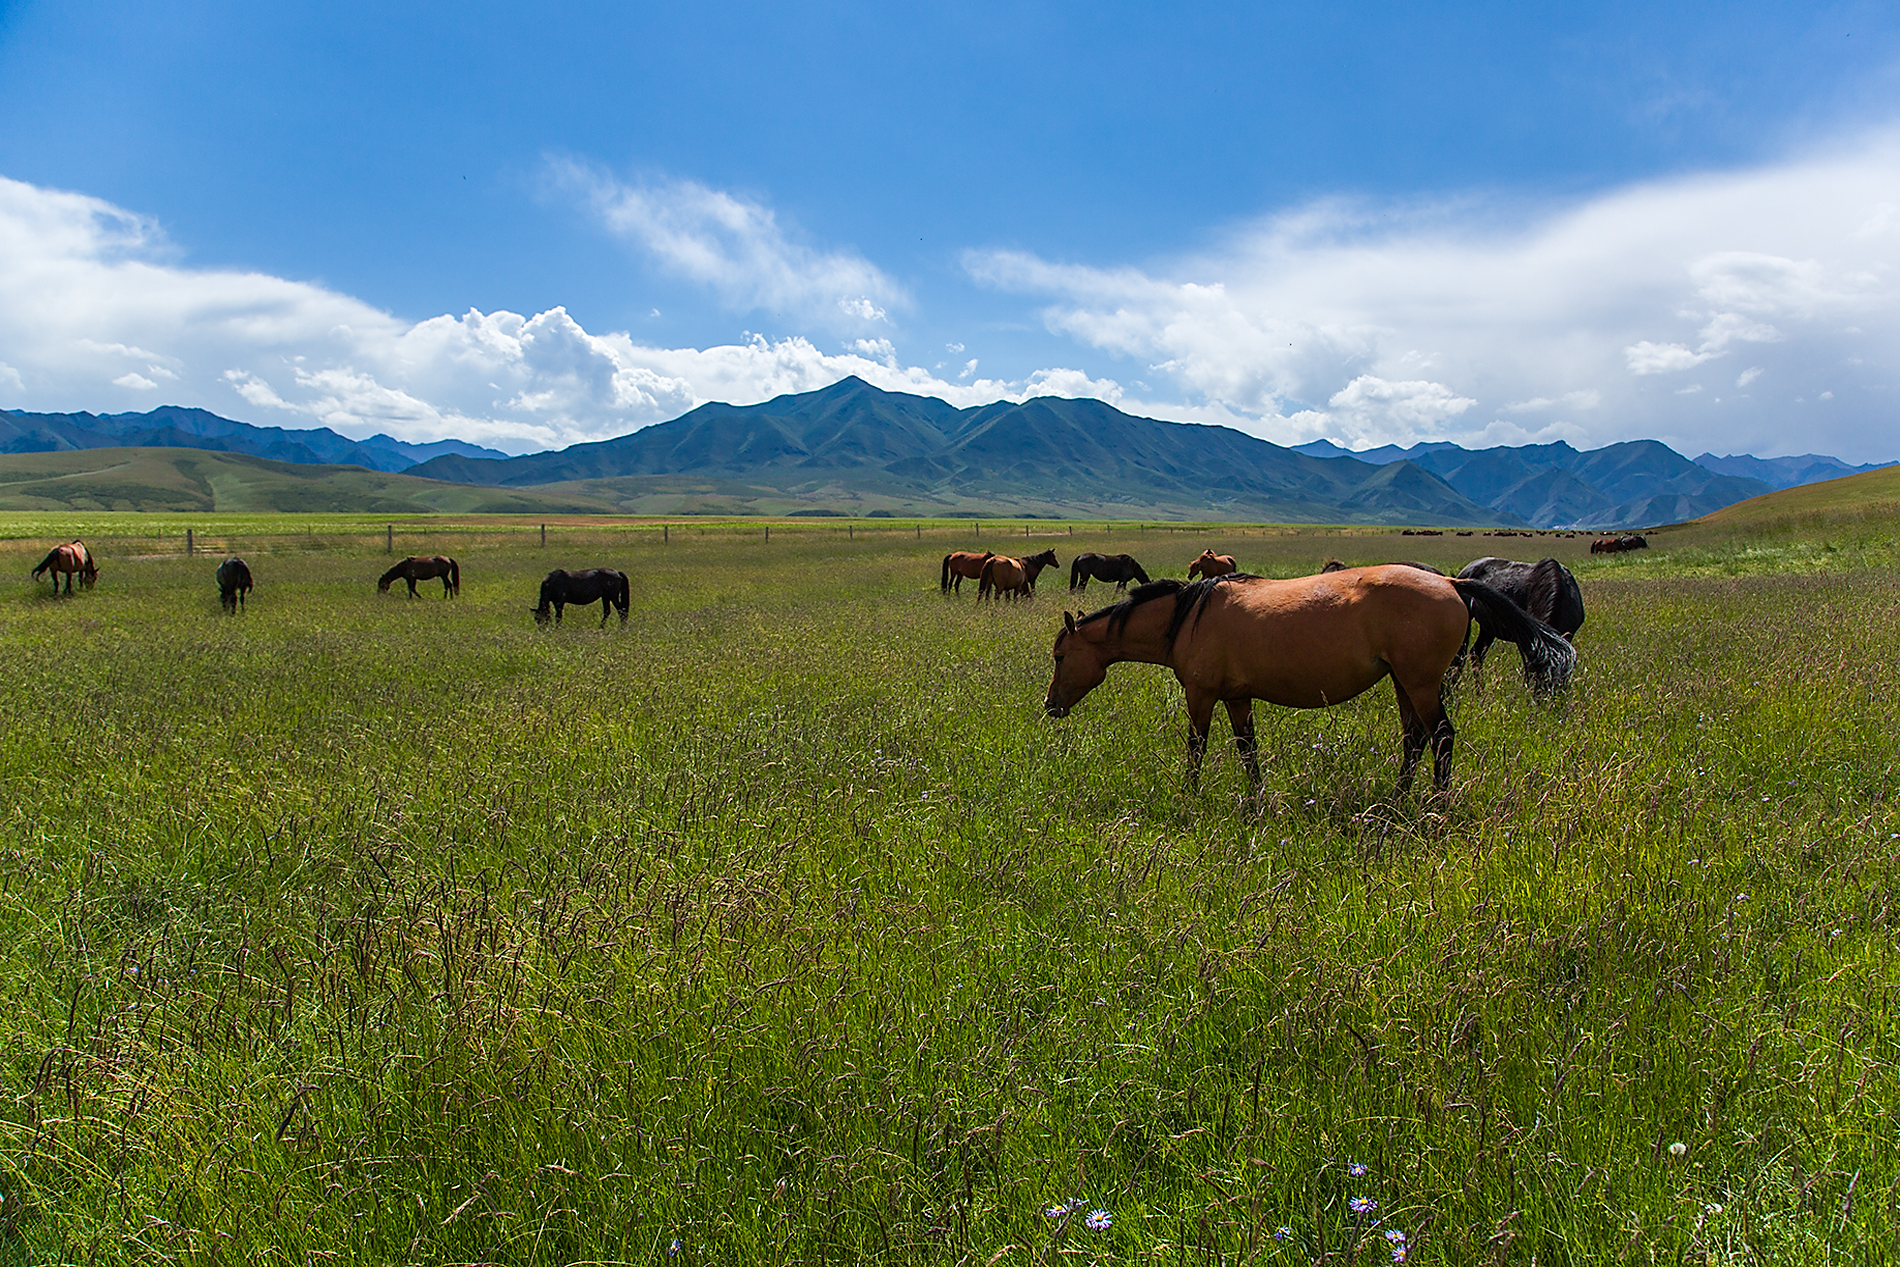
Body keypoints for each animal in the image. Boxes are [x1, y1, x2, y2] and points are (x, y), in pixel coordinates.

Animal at [1041, 566, 1573, 794]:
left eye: (1060, 656)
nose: (1050, 706)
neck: (1188, 618)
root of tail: (1452, 583)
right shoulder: (1236, 697)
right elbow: (1247, 749)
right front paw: (1257, 800)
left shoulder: (1201, 695)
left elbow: (1196, 746)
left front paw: (1189, 795)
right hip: (1405, 683)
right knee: (1414, 739)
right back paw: (1399, 797)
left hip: (1421, 683)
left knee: (1440, 737)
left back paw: (1435, 803)